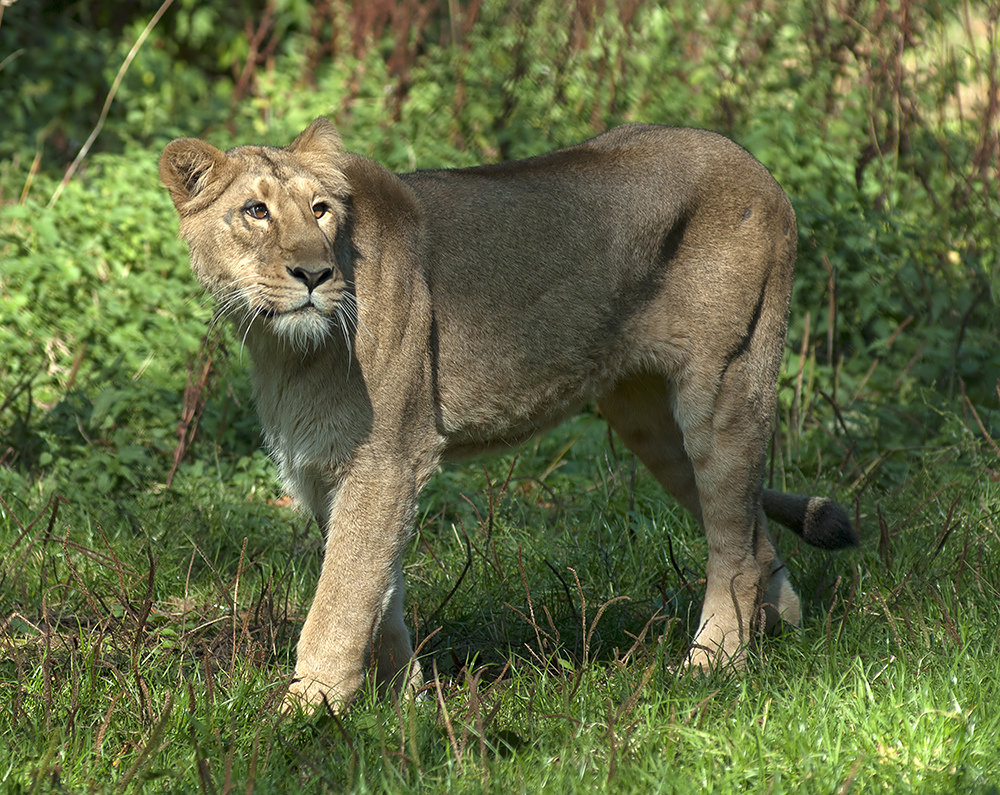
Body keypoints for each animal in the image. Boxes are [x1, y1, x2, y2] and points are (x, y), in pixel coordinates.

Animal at [159, 119, 856, 712]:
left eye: (320, 210)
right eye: (255, 212)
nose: (314, 273)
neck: (282, 349)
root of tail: (758, 167)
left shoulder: (388, 457)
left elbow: (342, 597)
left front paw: (307, 714)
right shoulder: (334, 469)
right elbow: (378, 590)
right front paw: (405, 705)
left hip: (724, 384)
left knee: (733, 547)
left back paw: (712, 668)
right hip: (650, 422)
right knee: (752, 532)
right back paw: (781, 633)